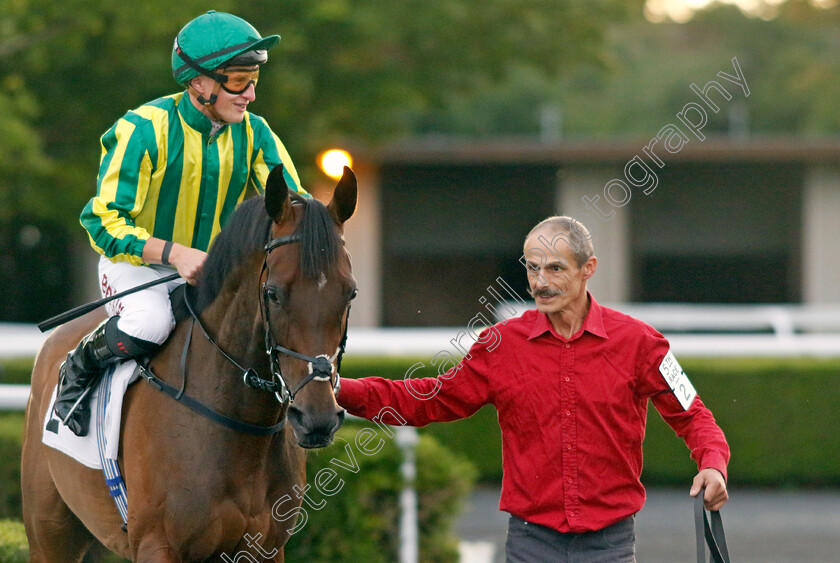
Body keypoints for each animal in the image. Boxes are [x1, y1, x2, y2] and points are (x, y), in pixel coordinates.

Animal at [22, 165, 358, 560]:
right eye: (273, 293)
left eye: (350, 292)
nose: (317, 419)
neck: (239, 426)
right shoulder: (158, 544)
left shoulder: (267, 548)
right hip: (50, 532)